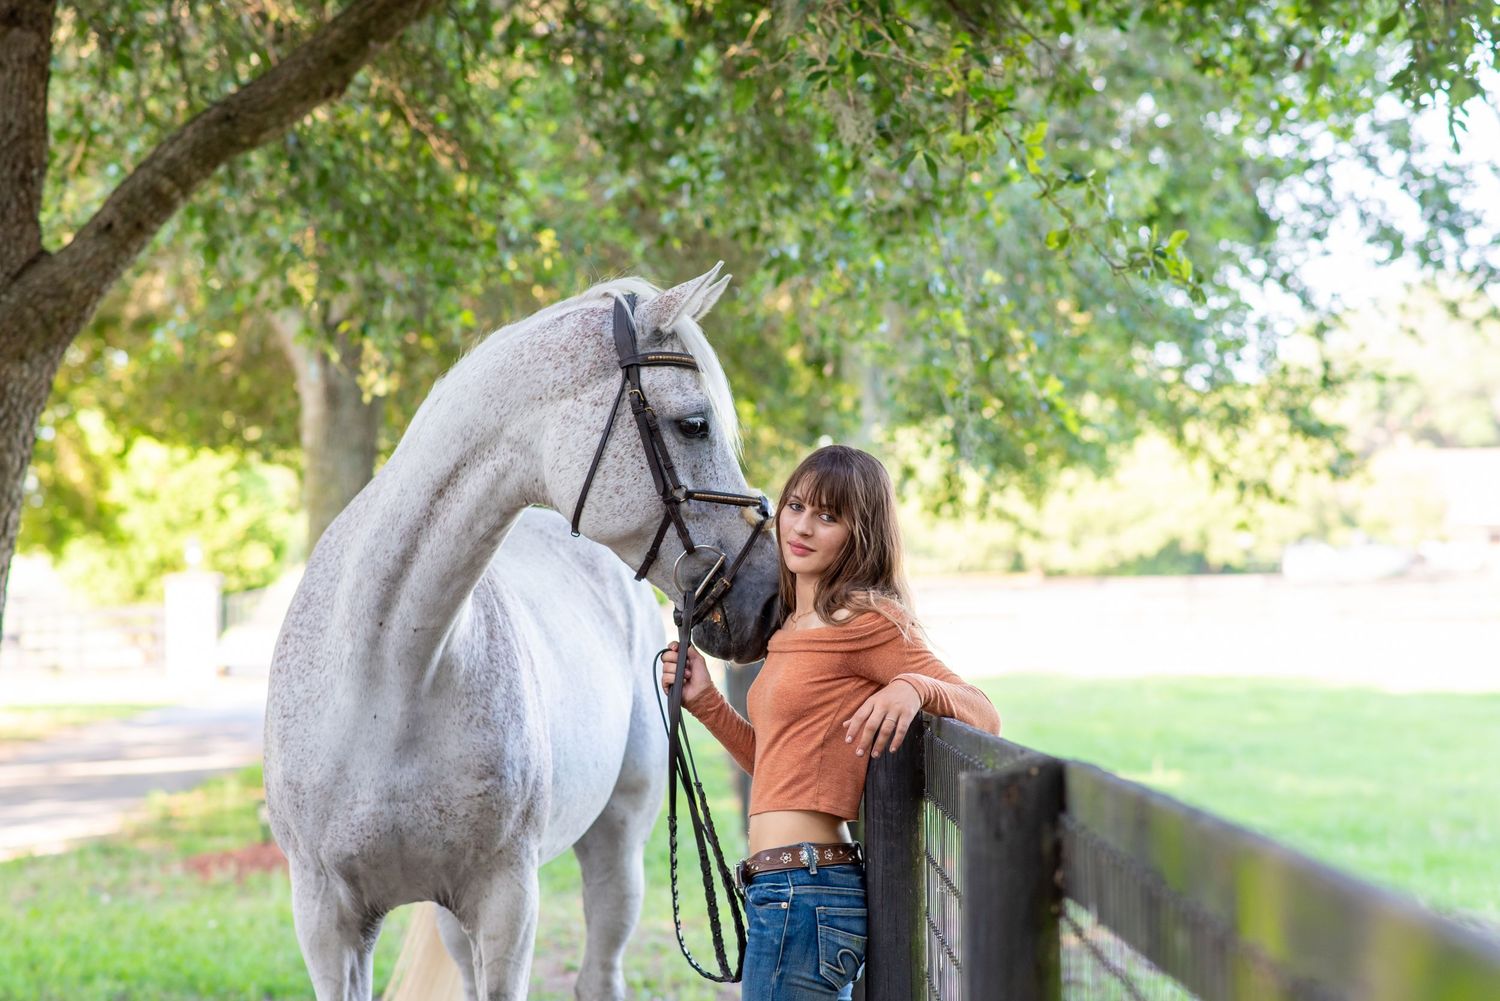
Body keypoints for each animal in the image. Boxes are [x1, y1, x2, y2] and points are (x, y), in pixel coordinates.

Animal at [264, 265, 781, 1001]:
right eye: (693, 423)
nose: (768, 596)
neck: (386, 676)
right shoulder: (326, 920)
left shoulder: (506, 902)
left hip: (616, 849)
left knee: (600, 972)